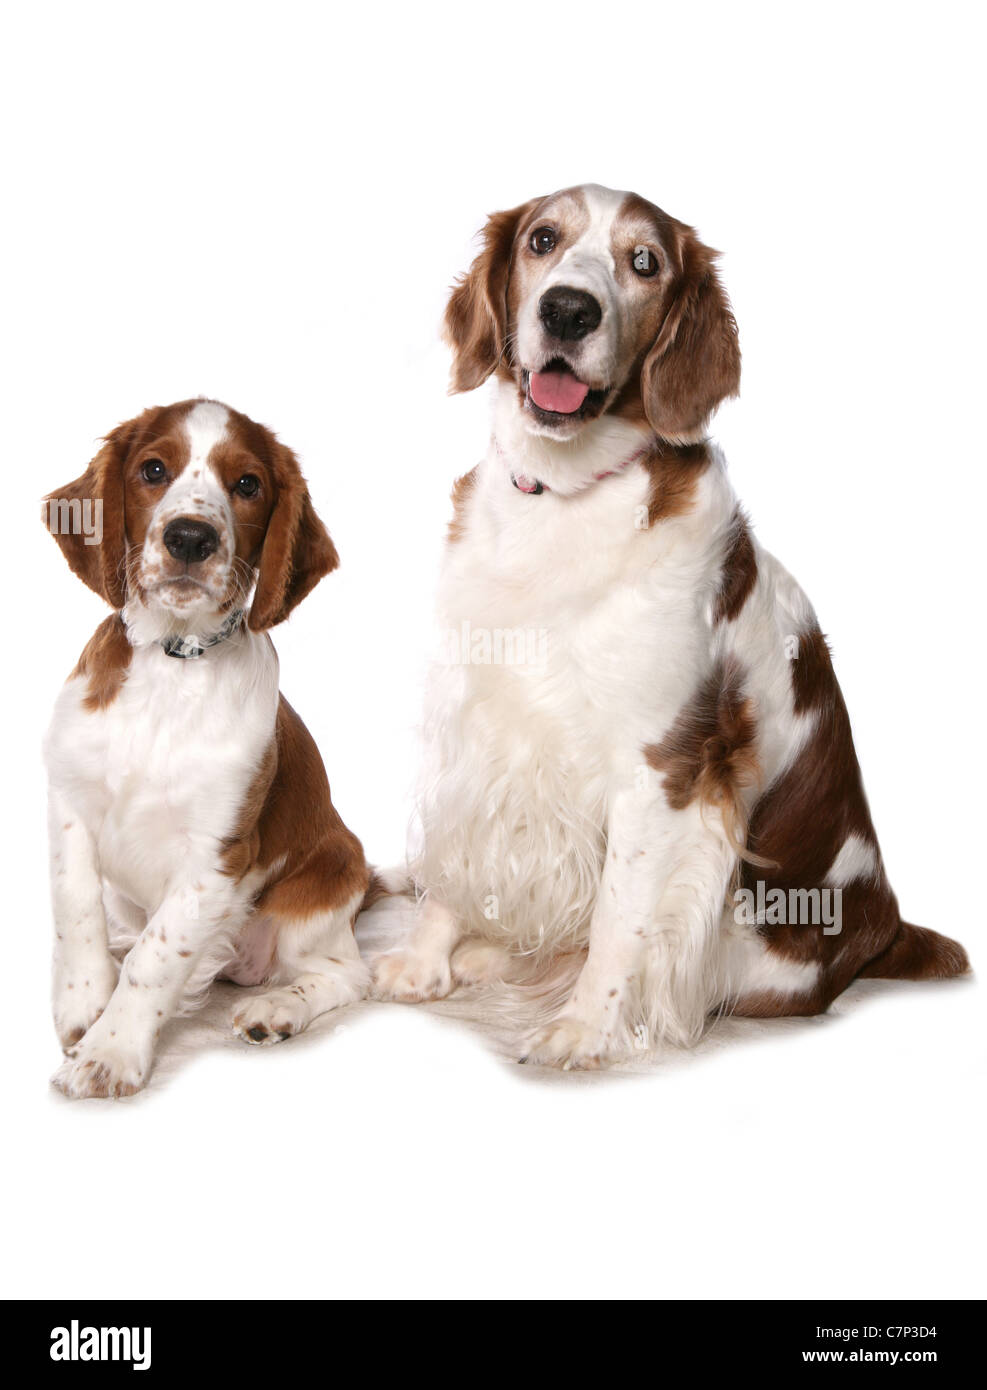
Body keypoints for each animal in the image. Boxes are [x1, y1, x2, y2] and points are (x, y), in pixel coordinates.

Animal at [44, 400, 372, 1095]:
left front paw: (109, 1052)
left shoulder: (218, 852)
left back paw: (275, 1009)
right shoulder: (69, 802)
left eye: (247, 484)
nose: (191, 538)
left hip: (324, 886)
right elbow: (75, 909)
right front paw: (85, 1007)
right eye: (152, 469)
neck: (172, 665)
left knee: (344, 973)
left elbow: (156, 955)